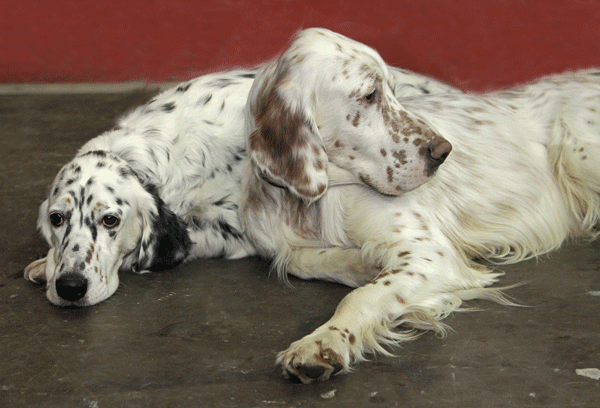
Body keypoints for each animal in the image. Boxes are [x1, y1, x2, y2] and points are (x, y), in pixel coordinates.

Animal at [240, 28, 600, 383]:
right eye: (370, 95)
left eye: (394, 90)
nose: (443, 151)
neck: (314, 204)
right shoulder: (276, 242)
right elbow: (295, 259)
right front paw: (364, 263)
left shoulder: (430, 252)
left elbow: (361, 295)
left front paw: (323, 341)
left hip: (578, 153)